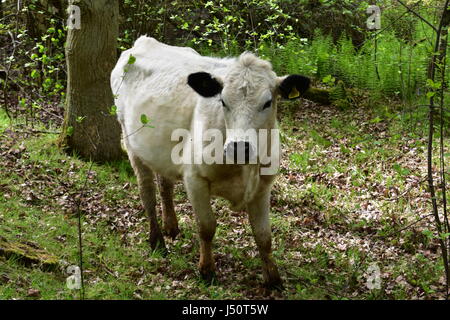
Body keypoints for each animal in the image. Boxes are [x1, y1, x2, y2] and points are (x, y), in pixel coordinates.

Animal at [111, 35, 312, 288]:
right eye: (223, 101)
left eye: (267, 102)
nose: (239, 147)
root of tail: (144, 41)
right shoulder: (195, 179)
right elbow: (206, 227)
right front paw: (207, 270)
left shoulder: (263, 185)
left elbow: (263, 235)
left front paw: (273, 278)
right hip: (130, 142)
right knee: (146, 192)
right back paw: (157, 240)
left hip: (160, 151)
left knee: (165, 185)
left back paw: (171, 227)